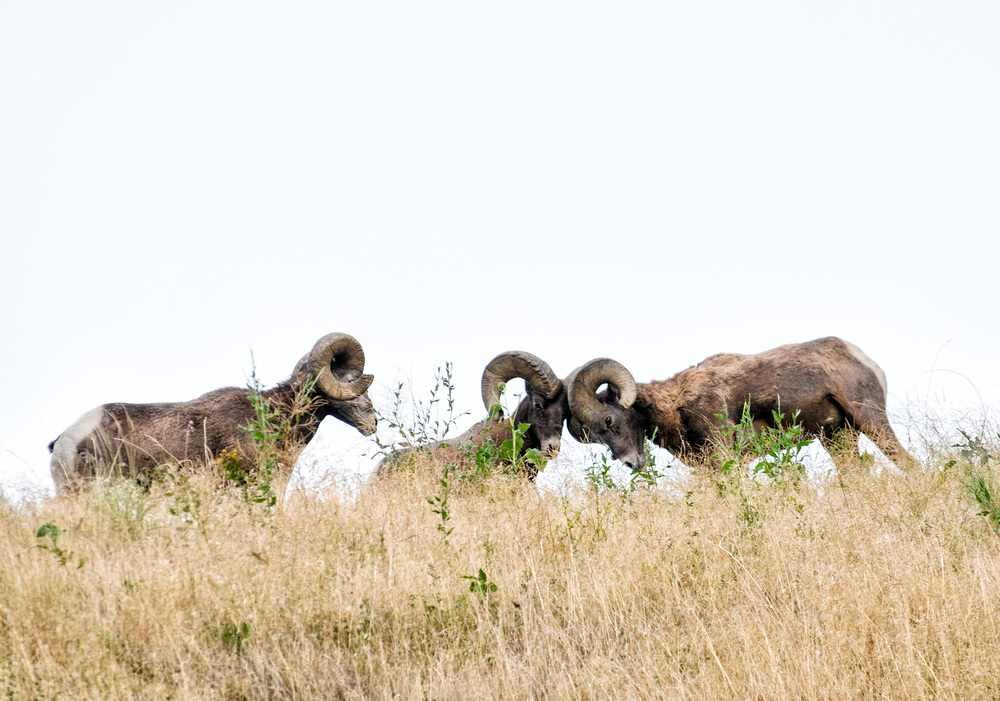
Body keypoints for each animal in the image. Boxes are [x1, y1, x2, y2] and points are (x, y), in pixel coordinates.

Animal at [568, 338, 912, 470]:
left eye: (609, 421)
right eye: (596, 437)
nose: (631, 464)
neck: (675, 406)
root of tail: (862, 358)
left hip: (872, 422)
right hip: (838, 439)